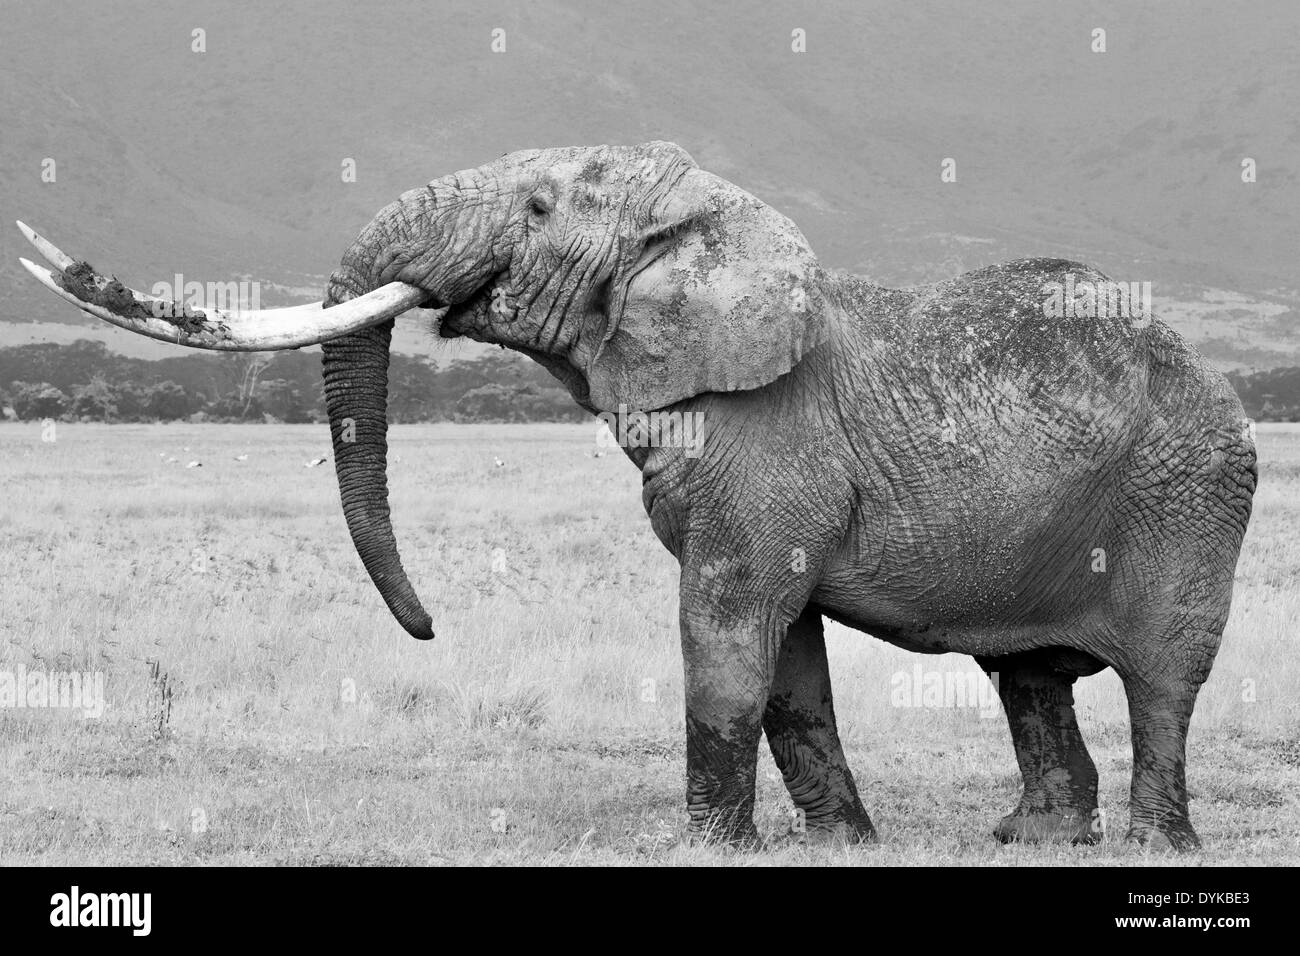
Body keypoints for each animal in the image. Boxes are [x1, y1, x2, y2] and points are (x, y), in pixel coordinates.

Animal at [17, 138, 1258, 848]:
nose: (429, 626)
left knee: (1159, 681)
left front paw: (704, 848)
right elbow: (785, 661)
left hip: (1191, 491)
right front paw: (839, 845)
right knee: (1027, 678)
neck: (705, 222)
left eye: (534, 210)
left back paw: (1153, 848)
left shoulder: (767, 447)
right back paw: (1029, 837)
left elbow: (726, 629)